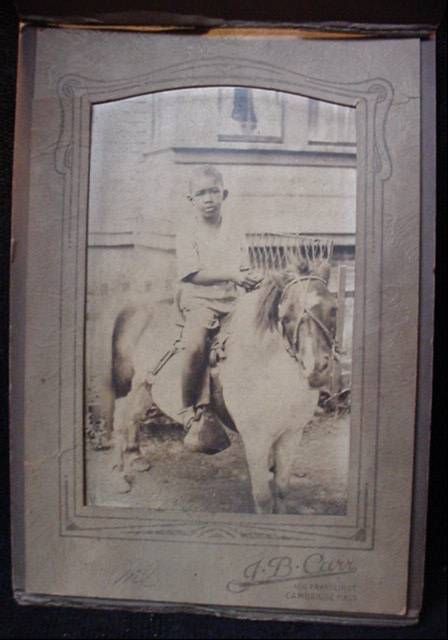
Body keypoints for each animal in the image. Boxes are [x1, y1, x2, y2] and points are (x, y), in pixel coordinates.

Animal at [107, 240, 342, 516]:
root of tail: (133, 308)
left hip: (146, 387)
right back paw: (119, 477)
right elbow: (263, 498)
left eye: (333, 309)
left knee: (134, 419)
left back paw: (136, 458)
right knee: (120, 424)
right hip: (126, 388)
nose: (317, 369)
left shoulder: (291, 435)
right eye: (285, 314)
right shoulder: (256, 438)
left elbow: (282, 490)